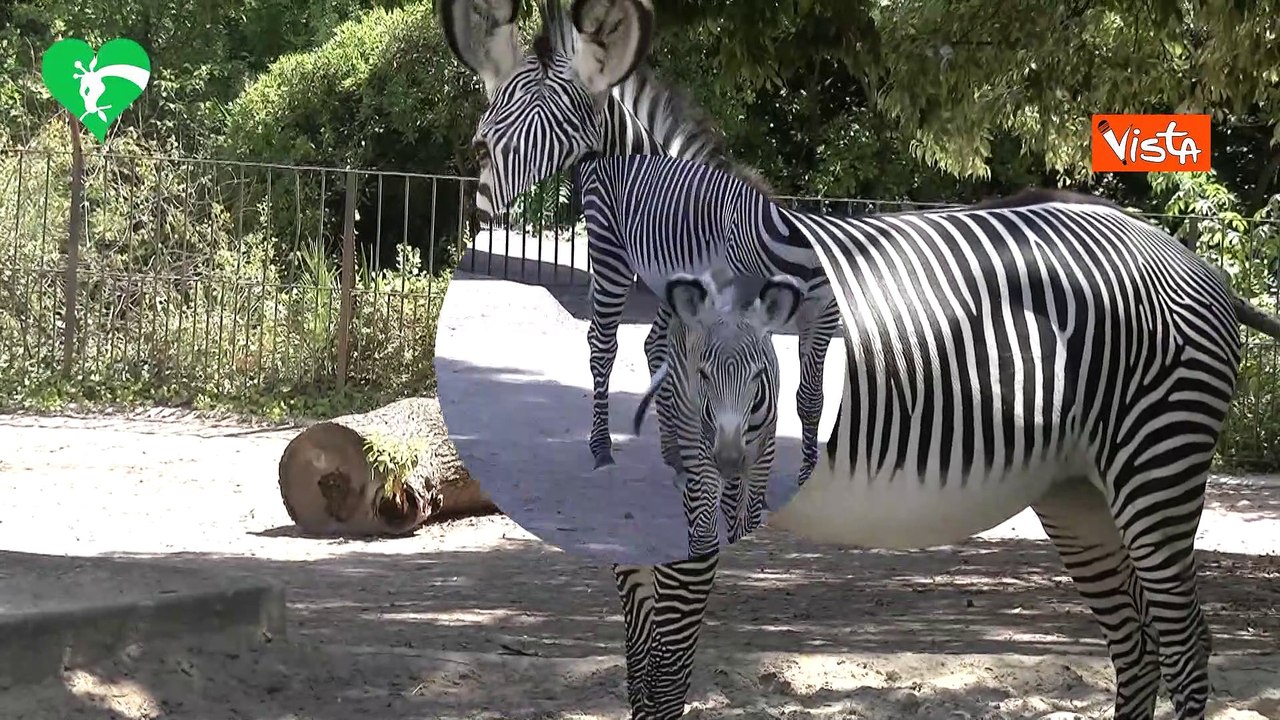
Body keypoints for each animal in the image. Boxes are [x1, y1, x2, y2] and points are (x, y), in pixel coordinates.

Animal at [438, 0, 841, 488]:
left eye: (487, 142)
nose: (478, 149)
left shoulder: (817, 317)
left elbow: (808, 396)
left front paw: (804, 475)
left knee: (653, 347)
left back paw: (674, 450)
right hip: (613, 252)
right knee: (608, 344)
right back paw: (608, 446)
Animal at [630, 267, 804, 556]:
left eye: (758, 374)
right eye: (703, 374)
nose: (729, 458)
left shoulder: (764, 450)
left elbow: (749, 516)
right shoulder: (707, 445)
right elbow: (706, 519)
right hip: (690, 429)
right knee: (697, 502)